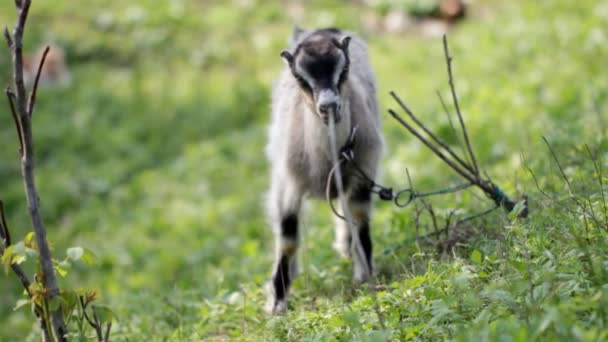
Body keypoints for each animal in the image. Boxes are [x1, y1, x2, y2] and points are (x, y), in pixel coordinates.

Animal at [264, 28, 382, 314]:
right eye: (300, 77)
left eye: (344, 68)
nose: (329, 106)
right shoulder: (288, 185)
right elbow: (287, 238)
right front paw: (277, 302)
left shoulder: (364, 173)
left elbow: (360, 221)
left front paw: (365, 274)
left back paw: (345, 247)